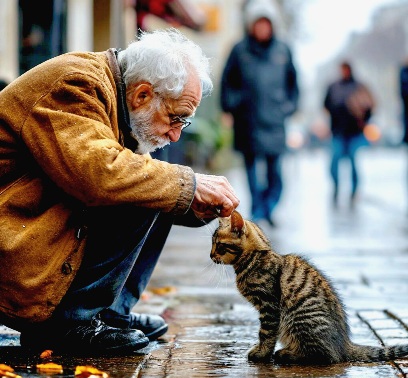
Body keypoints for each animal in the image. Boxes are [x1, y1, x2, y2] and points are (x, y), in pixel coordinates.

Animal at [210, 211, 408, 364]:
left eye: (219, 245)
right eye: (212, 244)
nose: (211, 255)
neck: (255, 258)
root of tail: (344, 344)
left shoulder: (269, 306)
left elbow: (266, 333)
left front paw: (261, 353)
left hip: (299, 319)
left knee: (326, 356)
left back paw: (286, 354)